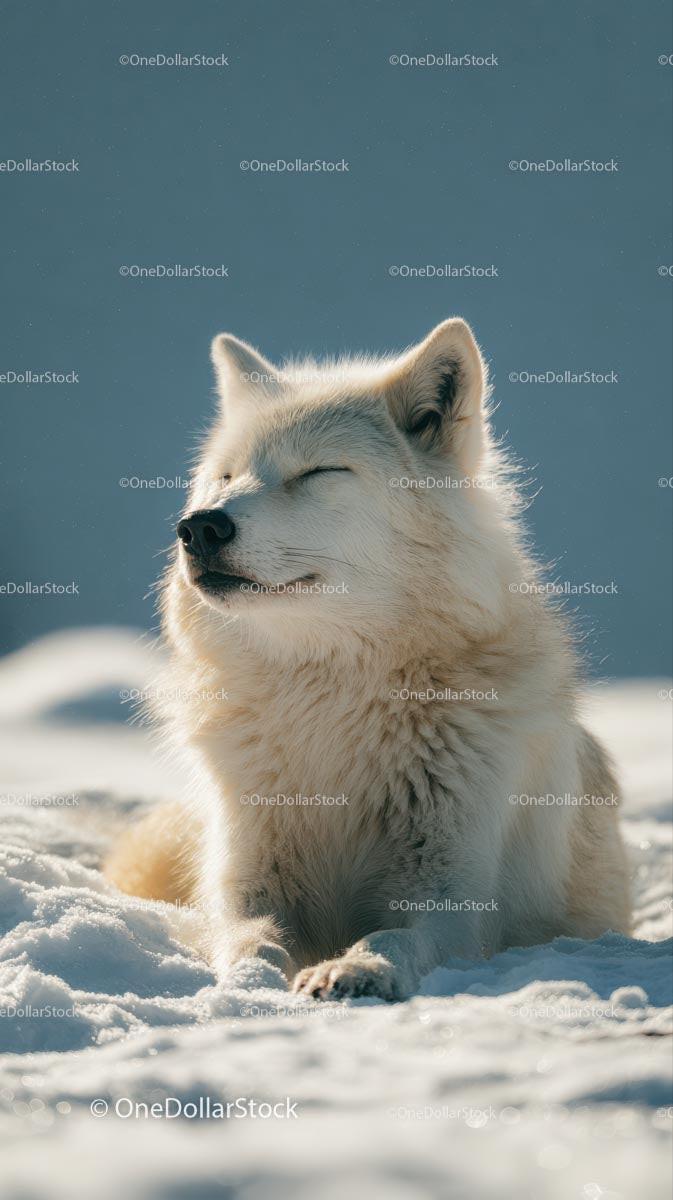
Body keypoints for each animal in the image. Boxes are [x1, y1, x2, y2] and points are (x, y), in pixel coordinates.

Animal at [105, 317, 632, 1001]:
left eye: (318, 471)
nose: (198, 527)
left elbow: (392, 936)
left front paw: (352, 968)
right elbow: (250, 937)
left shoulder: (451, 900)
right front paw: (249, 984)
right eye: (226, 476)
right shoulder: (246, 880)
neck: (330, 699)